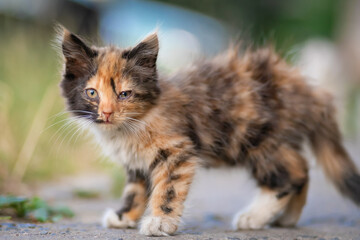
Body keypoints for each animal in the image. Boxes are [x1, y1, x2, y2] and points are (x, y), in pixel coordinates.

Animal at [57, 27, 358, 235]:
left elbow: (167, 189)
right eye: (92, 93)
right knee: (302, 168)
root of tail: (308, 89)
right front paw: (125, 217)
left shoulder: (176, 151)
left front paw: (160, 221)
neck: (127, 128)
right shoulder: (136, 163)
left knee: (292, 172)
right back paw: (286, 218)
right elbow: (135, 190)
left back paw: (256, 216)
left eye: (124, 94)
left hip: (257, 138)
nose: (107, 113)